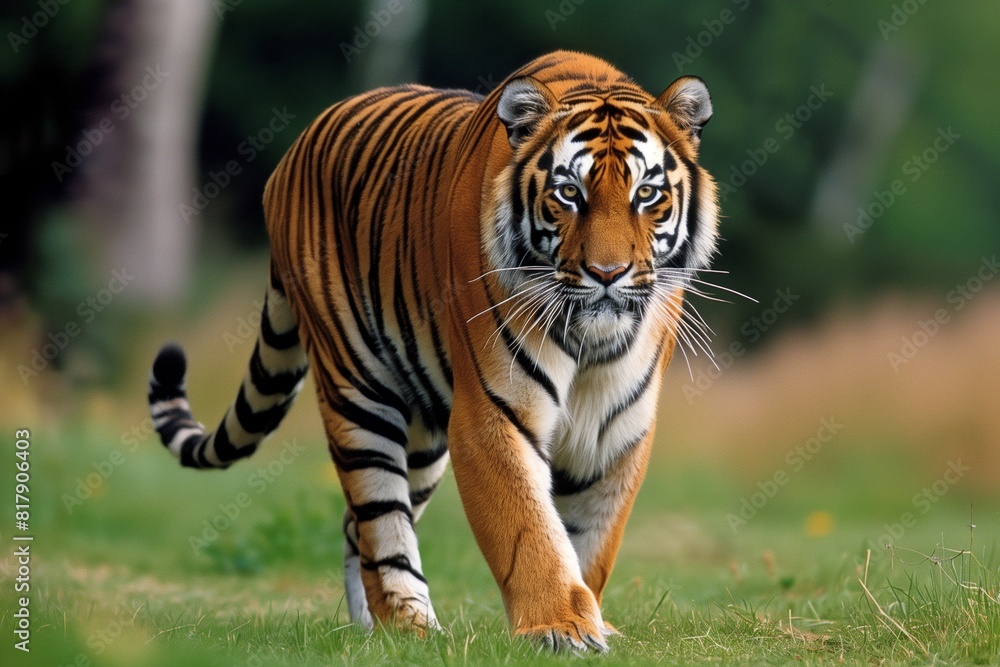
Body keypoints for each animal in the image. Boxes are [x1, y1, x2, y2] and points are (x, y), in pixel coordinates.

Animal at [148, 50, 719, 651]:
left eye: (646, 195)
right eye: (569, 194)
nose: (607, 274)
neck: (592, 342)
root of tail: (289, 159)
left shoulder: (616, 429)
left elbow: (592, 541)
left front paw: (590, 620)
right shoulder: (492, 412)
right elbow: (529, 528)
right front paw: (560, 627)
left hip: (421, 436)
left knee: (355, 527)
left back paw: (372, 631)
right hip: (359, 396)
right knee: (379, 524)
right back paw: (410, 628)